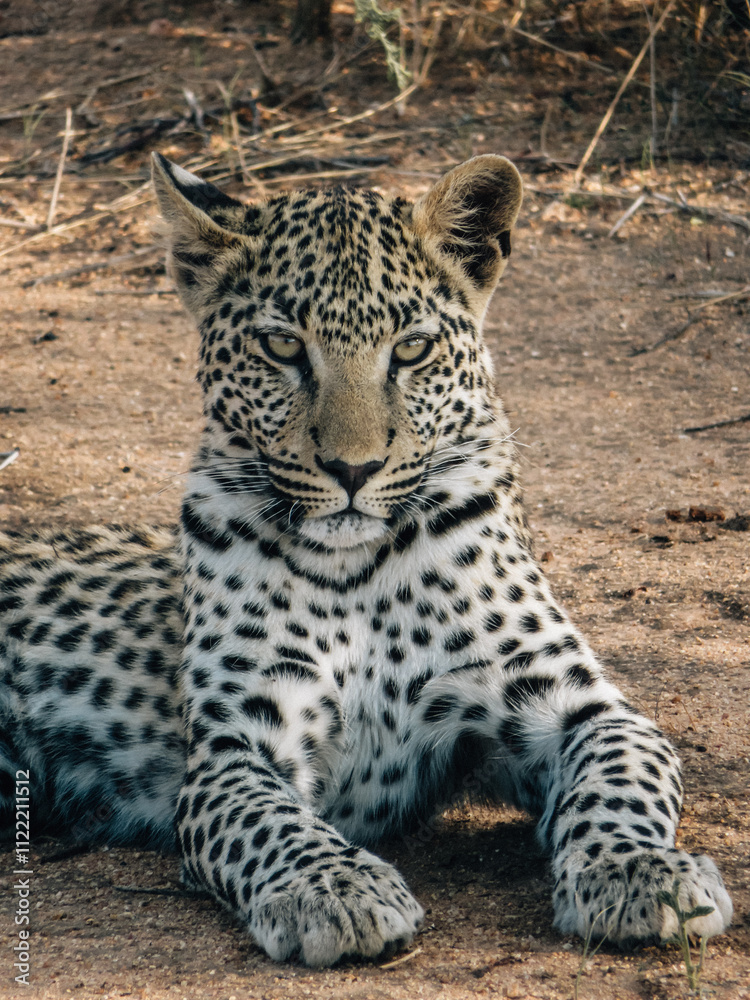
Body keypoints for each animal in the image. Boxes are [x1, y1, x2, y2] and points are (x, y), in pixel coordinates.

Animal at [0, 153, 732, 967]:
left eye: (410, 350)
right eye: (283, 347)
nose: (353, 470)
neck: (358, 574)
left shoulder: (577, 704)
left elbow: (622, 778)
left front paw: (637, 871)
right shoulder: (237, 745)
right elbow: (271, 823)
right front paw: (335, 889)